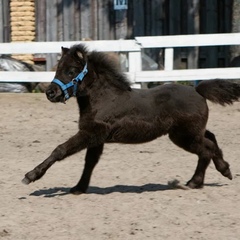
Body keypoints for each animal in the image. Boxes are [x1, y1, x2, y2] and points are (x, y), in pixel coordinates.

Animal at [22, 44, 240, 194]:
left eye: (71, 71)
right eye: (58, 68)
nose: (50, 93)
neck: (103, 98)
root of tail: (197, 90)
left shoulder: (91, 133)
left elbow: (60, 150)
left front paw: (30, 176)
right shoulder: (97, 138)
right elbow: (89, 162)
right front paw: (79, 187)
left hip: (184, 136)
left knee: (207, 149)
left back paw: (203, 179)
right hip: (191, 133)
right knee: (211, 140)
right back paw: (217, 173)